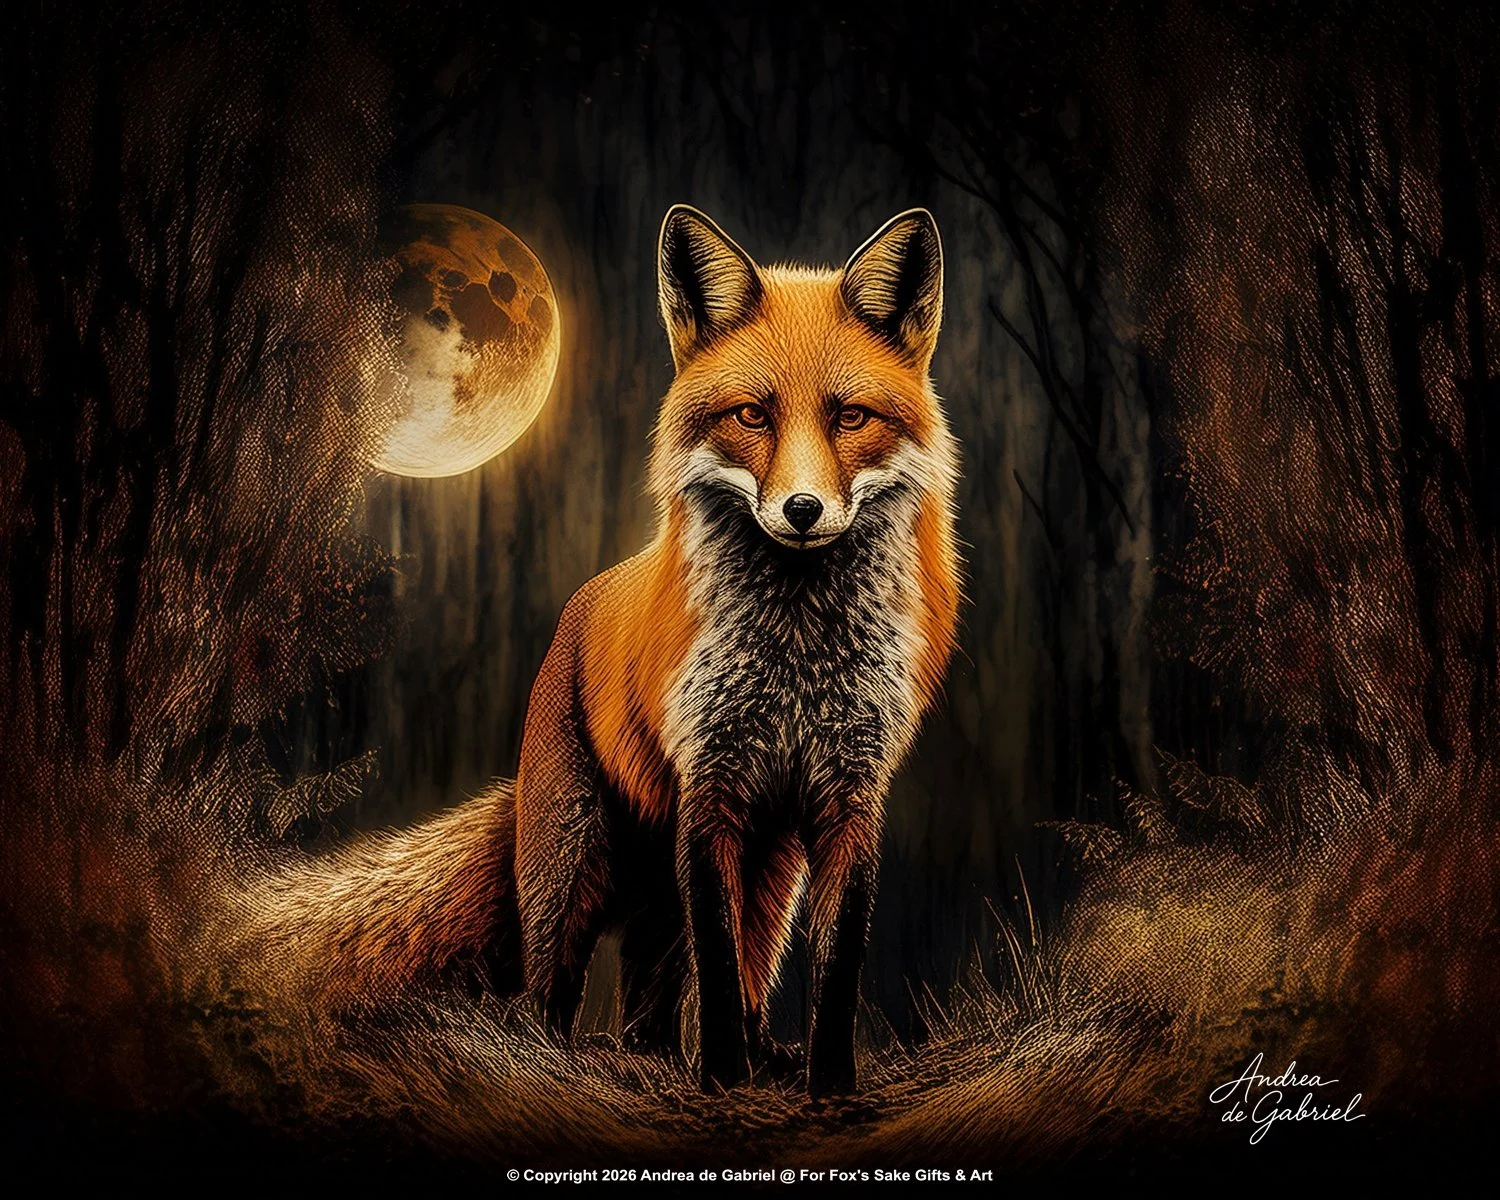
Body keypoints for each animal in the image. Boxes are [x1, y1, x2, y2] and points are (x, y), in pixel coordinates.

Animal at [246, 204, 961, 1098]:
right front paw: (720, 1079)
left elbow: (832, 968)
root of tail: (578, 606)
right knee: (551, 990)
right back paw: (560, 1059)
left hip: (759, 873)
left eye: (851, 417)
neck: (795, 657)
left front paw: (825, 1082)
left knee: (672, 997)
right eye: (752, 416)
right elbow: (716, 966)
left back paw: (707, 1055)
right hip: (575, 862)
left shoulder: (849, 799)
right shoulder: (709, 791)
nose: (802, 510)